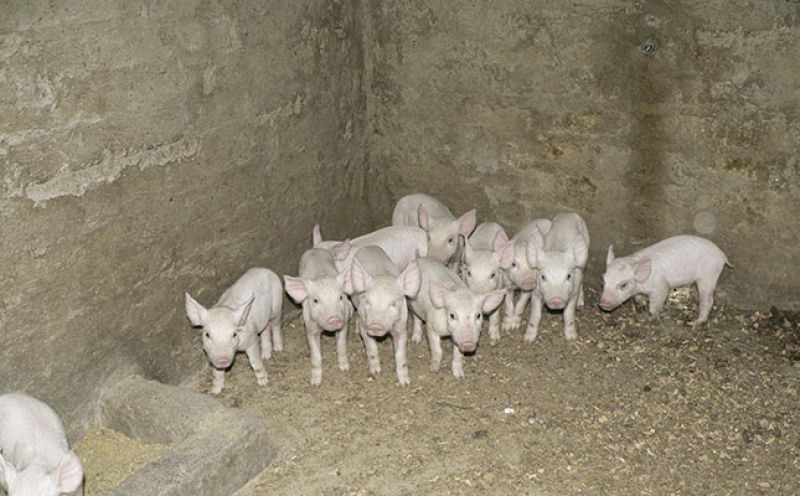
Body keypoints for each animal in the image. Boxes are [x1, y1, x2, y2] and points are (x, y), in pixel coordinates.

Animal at [284, 248, 352, 386]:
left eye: (341, 297)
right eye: (316, 300)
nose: (334, 318)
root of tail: (314, 249)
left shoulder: (344, 322)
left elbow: (341, 346)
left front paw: (345, 369)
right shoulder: (311, 329)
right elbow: (315, 356)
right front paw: (315, 384)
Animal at [347, 246, 421, 385]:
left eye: (393, 303)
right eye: (368, 301)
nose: (375, 325)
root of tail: (369, 247)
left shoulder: (402, 326)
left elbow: (400, 354)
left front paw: (405, 383)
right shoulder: (365, 325)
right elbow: (371, 347)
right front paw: (376, 373)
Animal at [525, 212, 590, 342]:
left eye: (568, 276)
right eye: (543, 277)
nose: (556, 299)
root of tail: (569, 213)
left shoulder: (573, 292)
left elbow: (568, 314)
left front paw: (571, 338)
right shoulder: (536, 291)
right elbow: (536, 314)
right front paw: (528, 339)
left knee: (582, 280)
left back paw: (580, 305)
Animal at [599, 235, 731, 328]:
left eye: (623, 285)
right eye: (604, 282)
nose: (603, 304)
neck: (642, 284)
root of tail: (722, 254)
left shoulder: (660, 286)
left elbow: (655, 306)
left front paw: (652, 319)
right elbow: (638, 298)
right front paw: (641, 308)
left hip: (708, 275)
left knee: (708, 300)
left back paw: (695, 323)